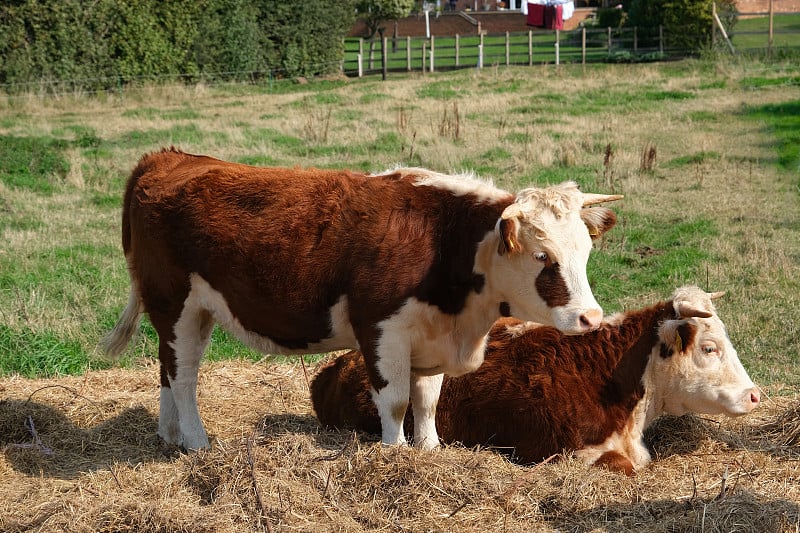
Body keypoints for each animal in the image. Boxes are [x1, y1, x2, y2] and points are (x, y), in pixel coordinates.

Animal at [101, 148, 624, 450]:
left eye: (585, 250)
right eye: (542, 256)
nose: (590, 317)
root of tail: (167, 157)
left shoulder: (428, 337)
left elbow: (428, 401)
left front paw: (429, 451)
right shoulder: (381, 329)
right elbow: (394, 401)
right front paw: (394, 455)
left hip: (192, 311)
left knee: (168, 370)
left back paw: (169, 435)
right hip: (175, 303)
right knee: (184, 376)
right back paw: (196, 442)